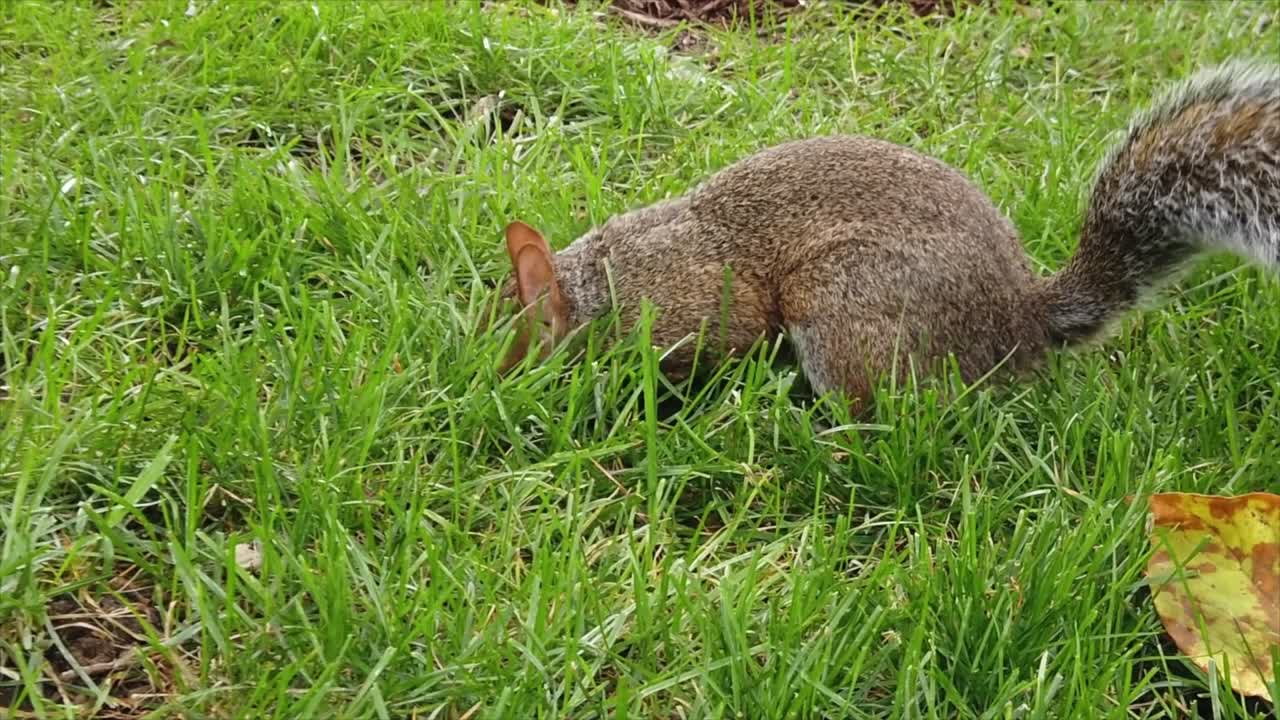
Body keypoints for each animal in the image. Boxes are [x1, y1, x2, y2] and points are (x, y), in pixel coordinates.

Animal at [492, 59, 1279, 408]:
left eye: (513, 339)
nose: (491, 382)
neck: (601, 286)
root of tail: (1019, 322)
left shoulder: (693, 306)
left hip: (845, 303)